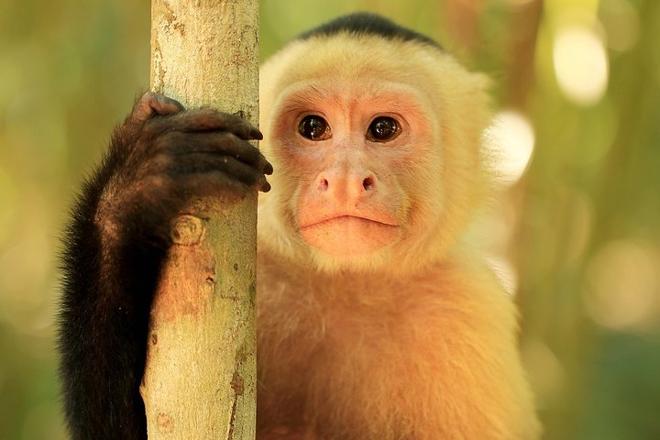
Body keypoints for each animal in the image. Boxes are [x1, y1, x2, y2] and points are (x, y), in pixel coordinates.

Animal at [58, 12, 540, 440]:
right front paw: (136, 186)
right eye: (313, 127)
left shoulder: (468, 311)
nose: (344, 180)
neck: (345, 286)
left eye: (383, 128)